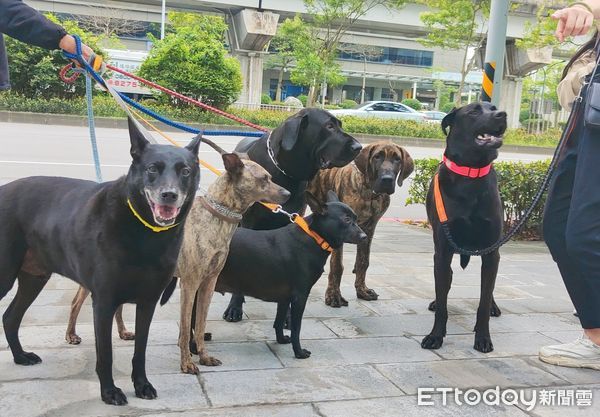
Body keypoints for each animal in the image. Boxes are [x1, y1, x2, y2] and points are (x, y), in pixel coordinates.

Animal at [220, 108, 360, 322]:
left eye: (340, 125)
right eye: (329, 126)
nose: (358, 147)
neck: (287, 174)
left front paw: (286, 315)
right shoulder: (249, 222)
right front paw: (235, 306)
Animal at [310, 141, 412, 308]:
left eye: (397, 159)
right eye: (377, 156)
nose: (387, 179)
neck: (370, 193)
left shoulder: (369, 230)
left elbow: (363, 261)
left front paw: (362, 290)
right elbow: (337, 265)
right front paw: (334, 295)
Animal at [422, 101, 506, 352]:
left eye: (494, 108)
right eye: (474, 111)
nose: (502, 115)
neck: (471, 174)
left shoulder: (492, 253)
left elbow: (483, 300)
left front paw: (483, 338)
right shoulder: (442, 250)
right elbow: (442, 302)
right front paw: (436, 336)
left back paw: (494, 306)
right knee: (445, 281)